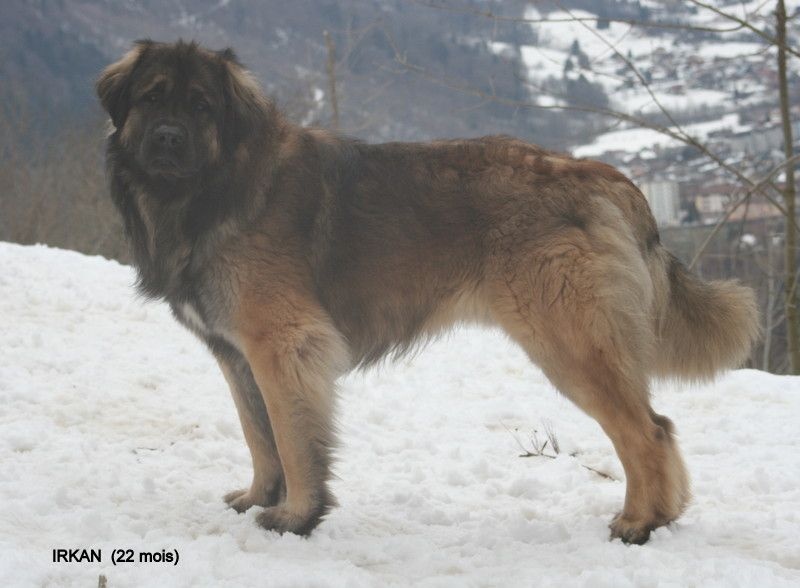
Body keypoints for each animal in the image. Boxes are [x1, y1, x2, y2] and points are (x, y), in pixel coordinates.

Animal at [96, 40, 759, 544]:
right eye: (152, 97)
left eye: (201, 105)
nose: (167, 138)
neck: (220, 184)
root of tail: (608, 178)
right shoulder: (237, 355)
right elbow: (259, 435)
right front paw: (260, 497)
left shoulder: (283, 345)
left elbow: (290, 436)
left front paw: (296, 517)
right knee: (657, 426)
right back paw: (662, 517)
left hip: (571, 342)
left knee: (648, 431)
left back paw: (637, 524)